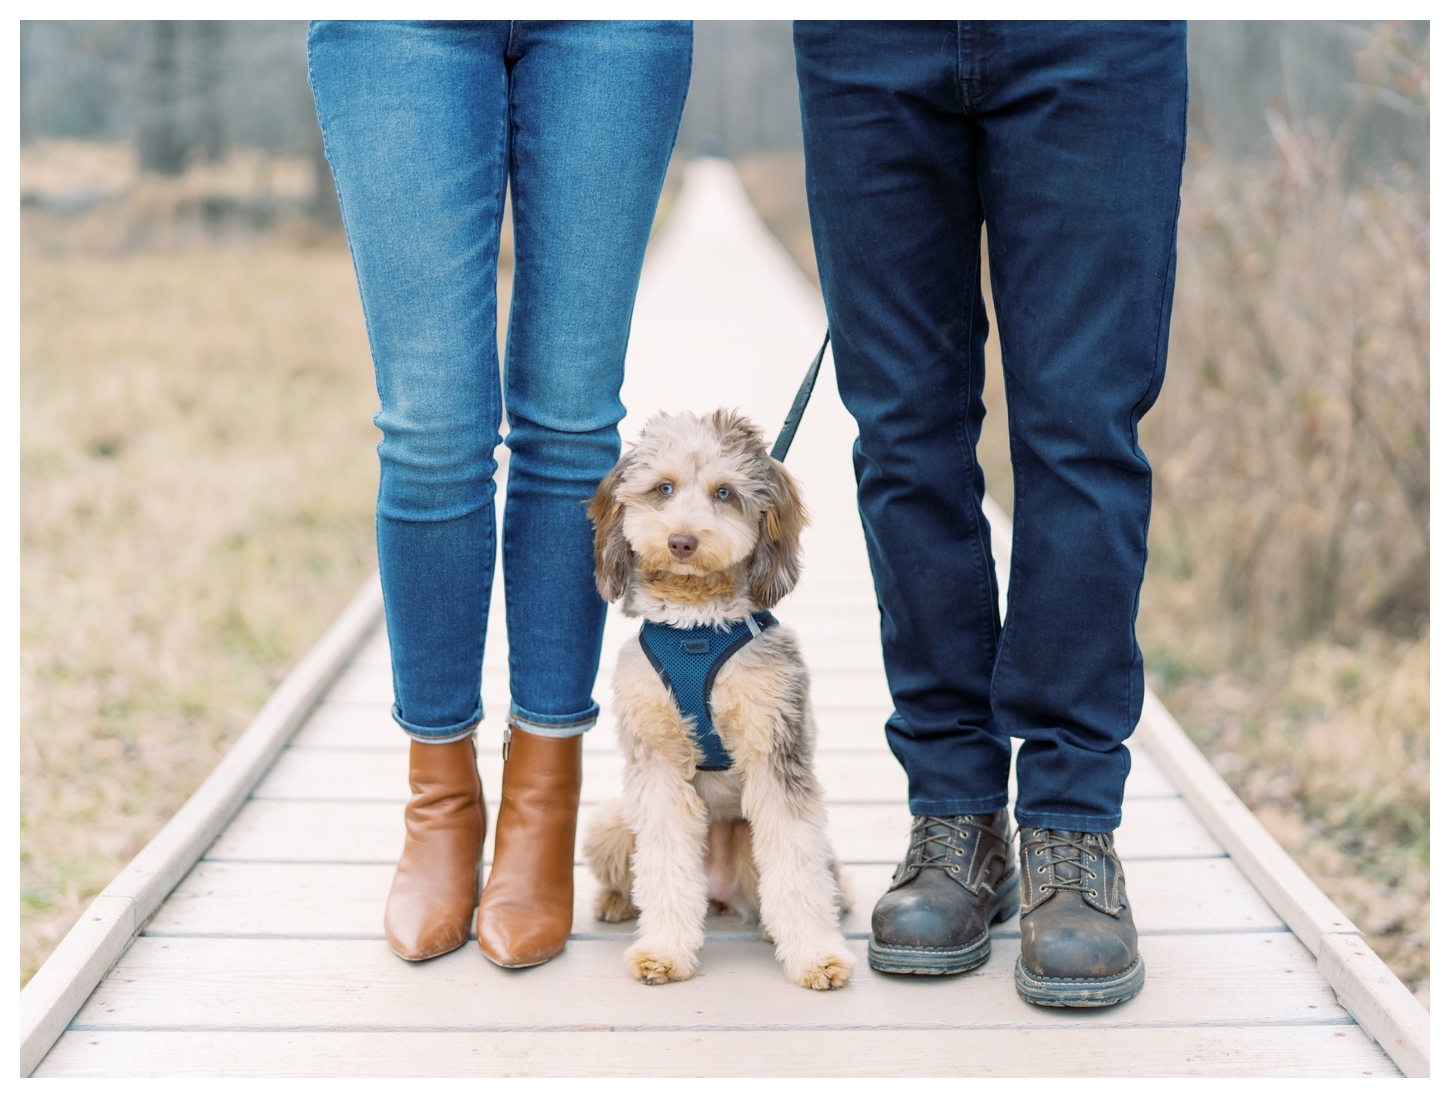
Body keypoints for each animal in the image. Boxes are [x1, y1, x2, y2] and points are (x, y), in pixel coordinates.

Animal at [582, 406, 852, 992]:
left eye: (725, 492)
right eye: (663, 488)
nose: (682, 541)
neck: (696, 626)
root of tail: (721, 896)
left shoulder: (777, 750)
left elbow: (797, 867)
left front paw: (815, 954)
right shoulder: (658, 764)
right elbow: (662, 865)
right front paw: (663, 949)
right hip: (612, 822)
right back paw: (616, 902)